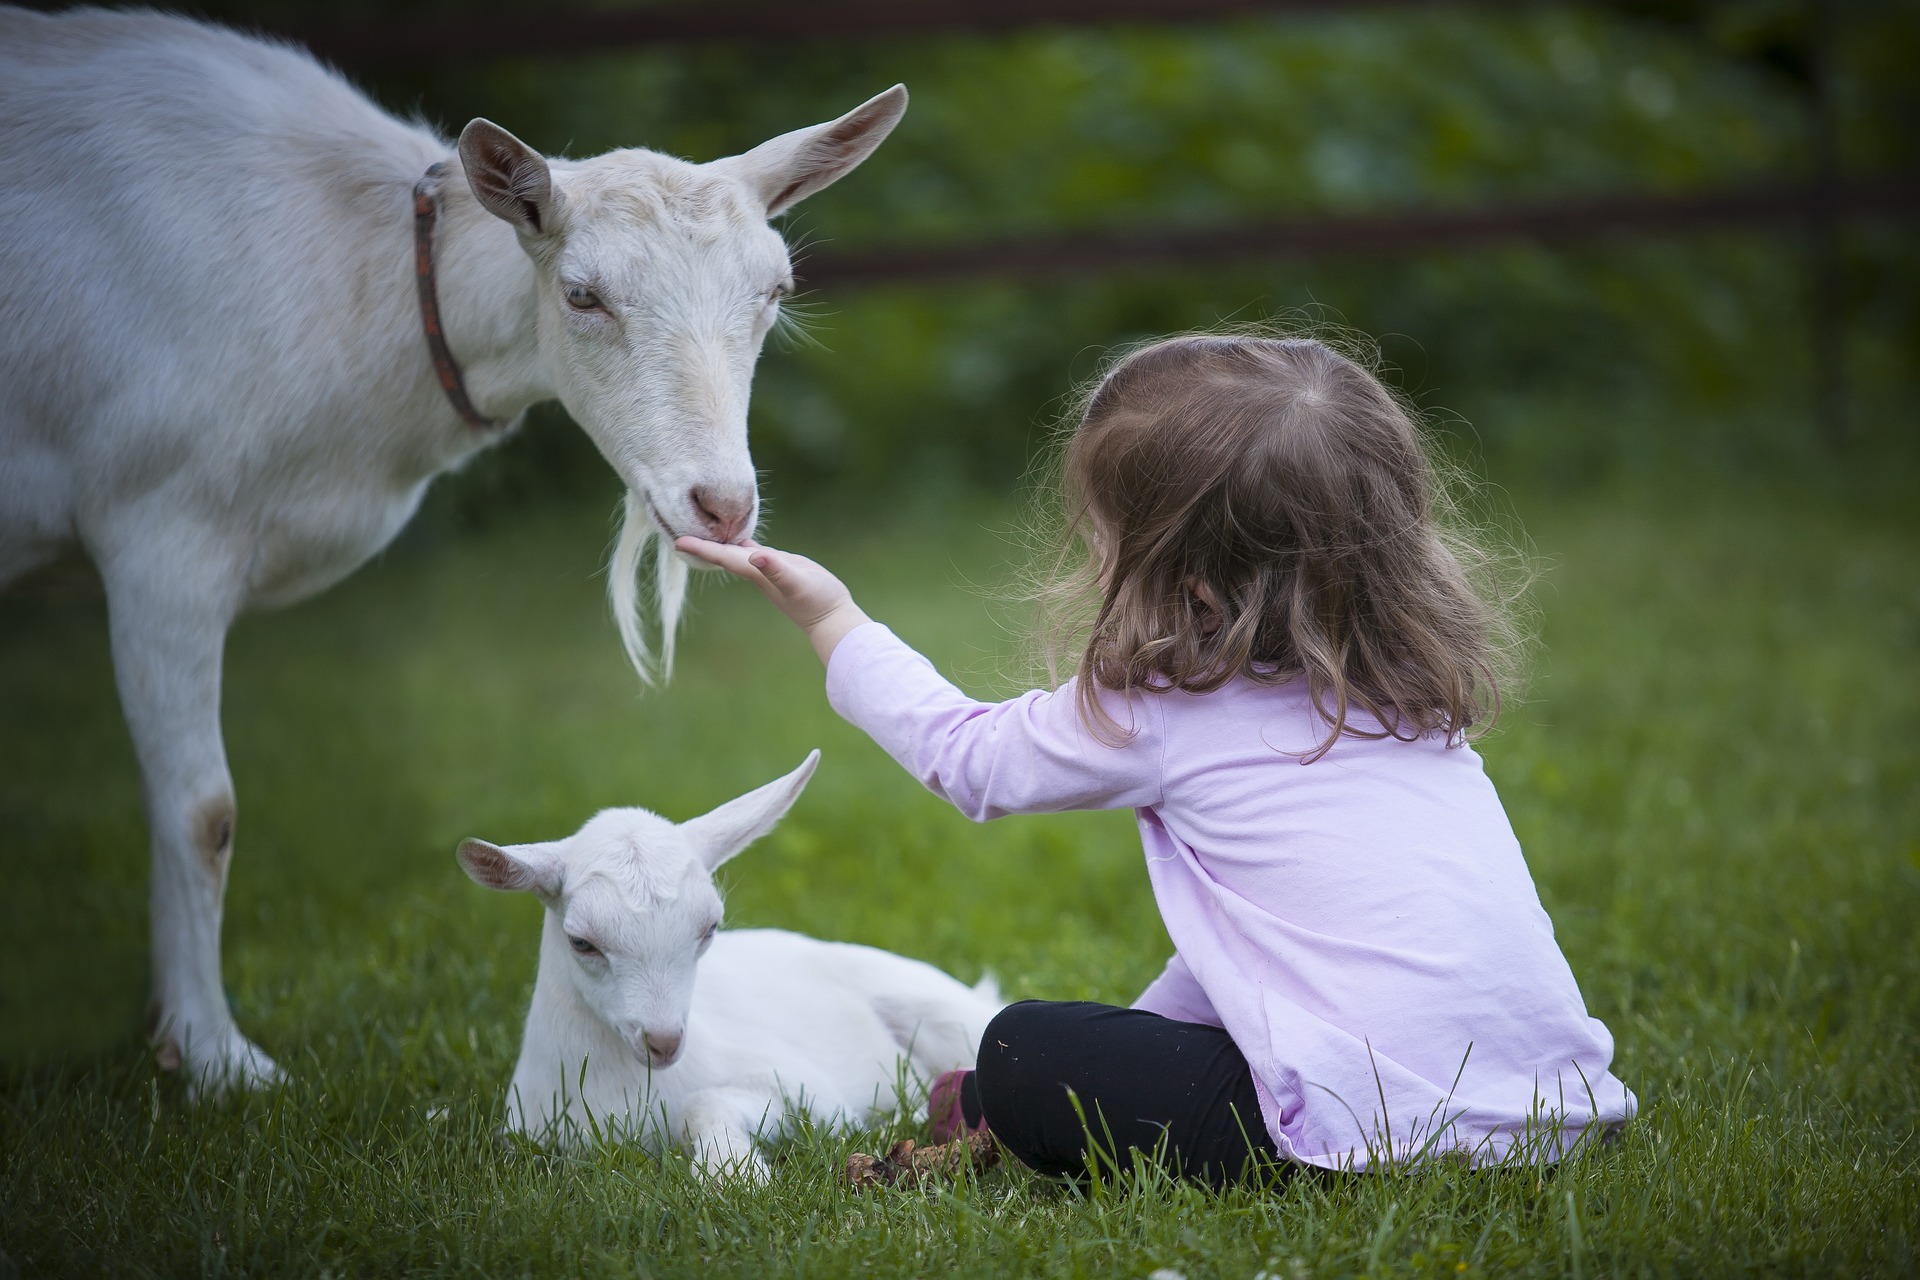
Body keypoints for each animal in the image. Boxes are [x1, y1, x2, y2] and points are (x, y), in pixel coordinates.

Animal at [0, 5, 906, 1090]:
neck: (360, 284)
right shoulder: (161, 524)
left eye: (775, 290)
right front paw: (217, 1057)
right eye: (583, 295)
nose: (722, 505)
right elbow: (202, 810)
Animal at [457, 752, 1003, 1180]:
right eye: (582, 942)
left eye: (709, 929)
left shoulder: (812, 1090)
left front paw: (734, 1174)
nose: (664, 1042)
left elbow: (707, 1103)